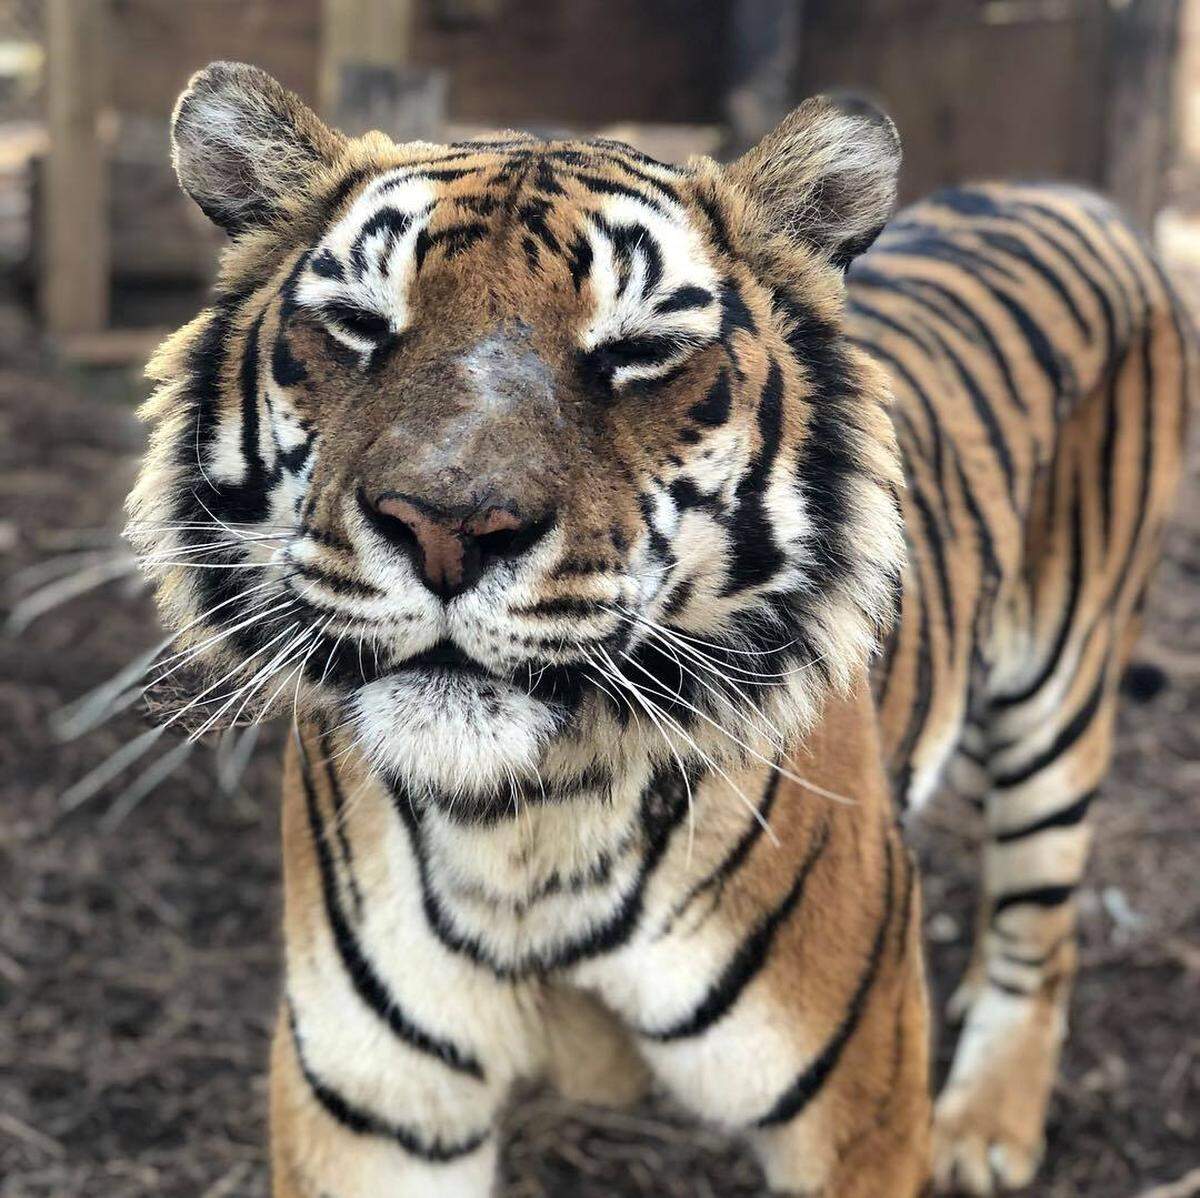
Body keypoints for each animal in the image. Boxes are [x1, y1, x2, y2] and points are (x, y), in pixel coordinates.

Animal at [125, 62, 1190, 1198]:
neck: (527, 827)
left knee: (1043, 925)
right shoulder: (376, 1113)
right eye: (360, 324)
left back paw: (986, 1129)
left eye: (638, 353)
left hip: (1062, 693)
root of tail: (1067, 189)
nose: (449, 526)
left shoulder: (859, 1103)